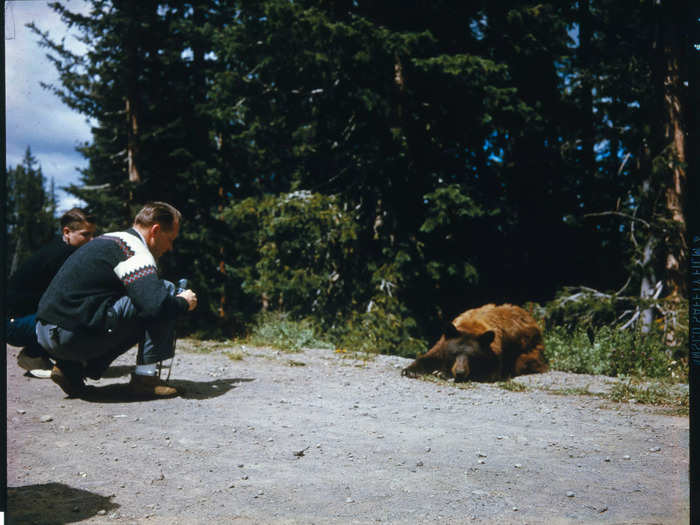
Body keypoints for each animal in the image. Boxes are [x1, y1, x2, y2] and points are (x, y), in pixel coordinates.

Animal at [400, 302, 548, 380]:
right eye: (454, 353)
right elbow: (429, 357)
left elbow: (489, 371)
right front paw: (410, 370)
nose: (460, 372)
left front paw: (442, 372)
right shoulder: (443, 344)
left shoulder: (494, 353)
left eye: (472, 356)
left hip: (528, 349)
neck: (471, 326)